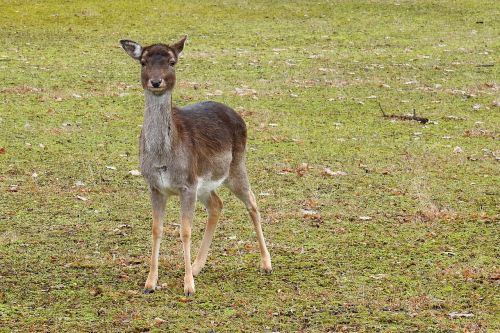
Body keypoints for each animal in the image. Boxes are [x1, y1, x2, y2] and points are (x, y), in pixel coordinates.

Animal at [118, 36, 272, 296]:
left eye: (172, 61)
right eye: (143, 62)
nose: (156, 81)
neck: (163, 158)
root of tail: (237, 114)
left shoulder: (187, 185)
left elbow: (185, 231)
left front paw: (188, 286)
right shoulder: (155, 186)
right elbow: (156, 229)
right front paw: (150, 283)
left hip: (235, 167)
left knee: (252, 202)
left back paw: (266, 264)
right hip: (205, 185)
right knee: (217, 204)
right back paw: (199, 266)